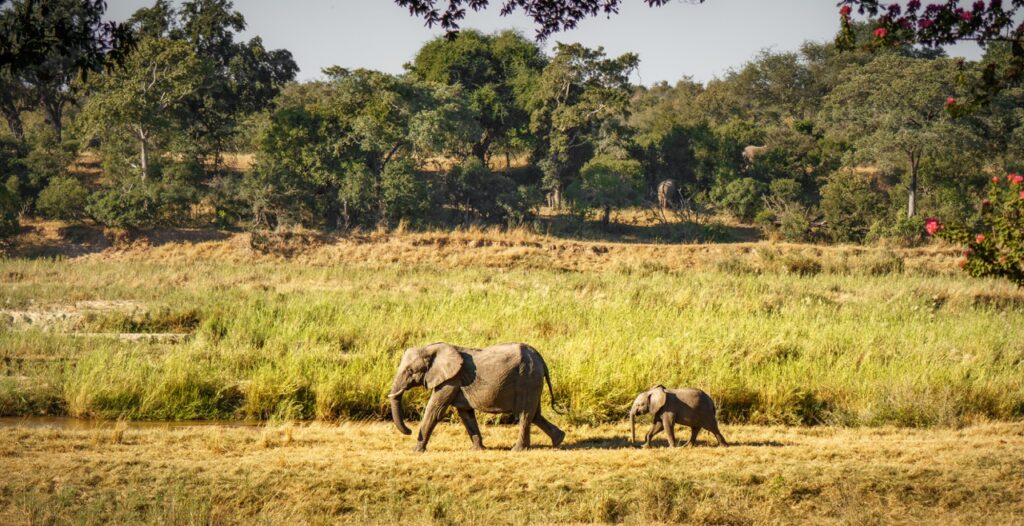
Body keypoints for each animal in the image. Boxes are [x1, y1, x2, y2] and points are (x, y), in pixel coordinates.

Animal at [388, 342, 566, 452]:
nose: (409, 430)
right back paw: (559, 440)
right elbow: (466, 414)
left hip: (528, 379)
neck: (430, 349)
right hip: (532, 381)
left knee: (524, 414)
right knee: (535, 414)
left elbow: (435, 410)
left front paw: (415, 451)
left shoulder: (451, 380)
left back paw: (517, 450)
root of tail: (540, 357)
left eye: (410, 371)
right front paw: (478, 449)